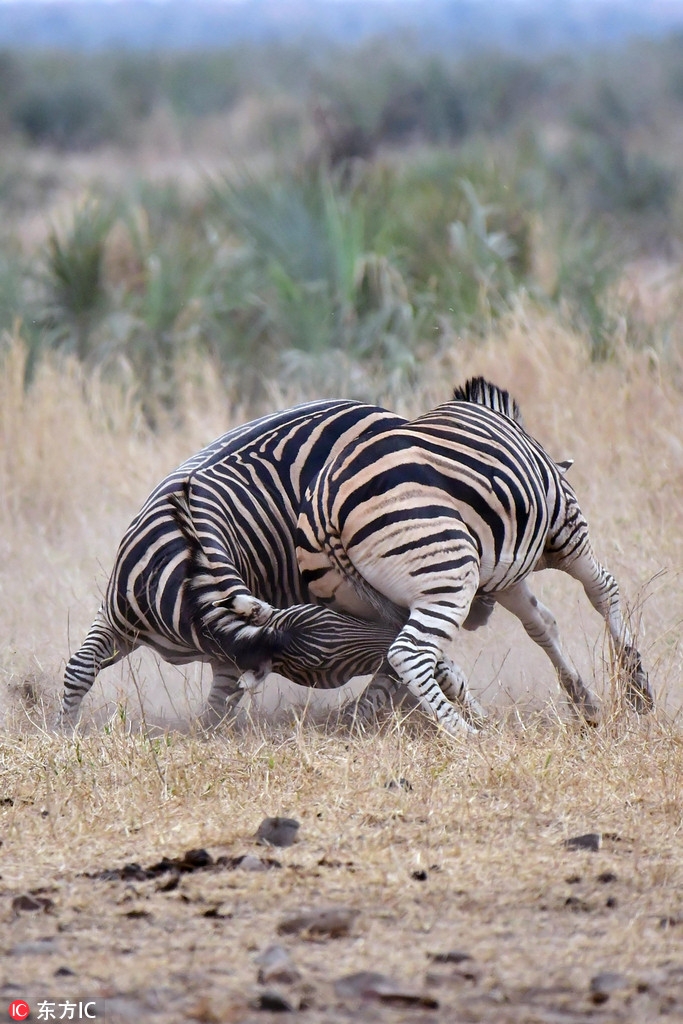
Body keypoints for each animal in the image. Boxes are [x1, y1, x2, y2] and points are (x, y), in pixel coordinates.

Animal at [296, 376, 655, 737]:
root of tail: (326, 505)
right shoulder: (566, 529)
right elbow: (604, 590)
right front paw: (636, 686)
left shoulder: (505, 573)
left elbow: (541, 624)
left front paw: (584, 701)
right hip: (448, 573)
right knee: (408, 654)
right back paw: (466, 733)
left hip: (359, 604)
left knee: (401, 652)